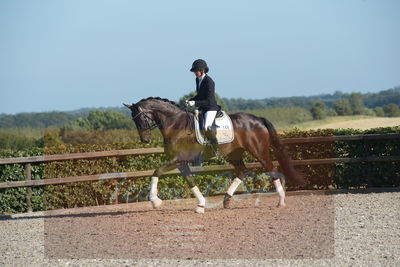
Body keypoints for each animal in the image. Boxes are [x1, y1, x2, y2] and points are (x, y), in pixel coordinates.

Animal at [123, 97, 304, 215]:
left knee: (271, 168)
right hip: (234, 153)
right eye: (134, 121)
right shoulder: (181, 162)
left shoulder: (178, 159)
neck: (176, 124)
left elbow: (156, 172)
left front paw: (155, 201)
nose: (145, 140)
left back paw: (281, 201)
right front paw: (201, 205)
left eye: (141, 118)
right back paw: (226, 200)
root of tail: (257, 119)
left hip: (258, 151)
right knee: (242, 171)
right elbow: (190, 181)